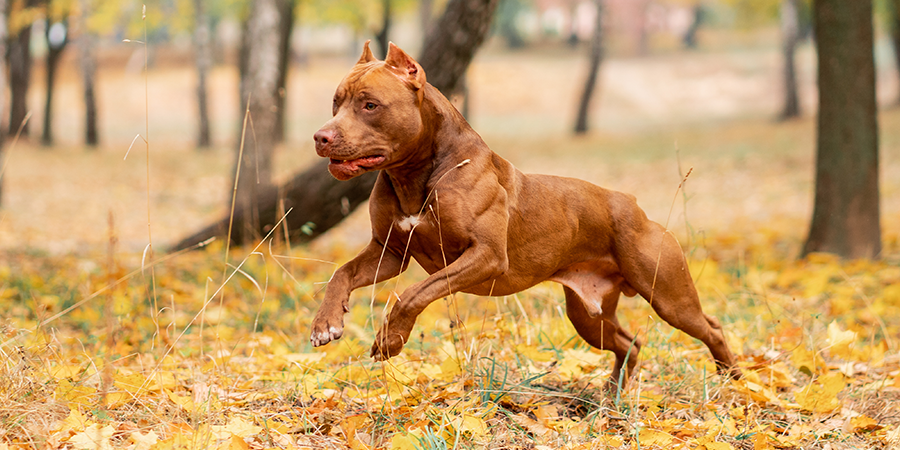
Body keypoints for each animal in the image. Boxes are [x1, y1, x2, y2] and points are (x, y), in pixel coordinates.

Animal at [312, 40, 740, 388]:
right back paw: (611, 396)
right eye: (335, 102)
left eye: (370, 105)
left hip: (669, 296)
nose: (321, 136)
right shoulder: (389, 252)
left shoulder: (485, 256)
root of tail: (632, 203)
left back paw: (733, 380)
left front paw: (390, 339)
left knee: (711, 328)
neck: (415, 174)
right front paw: (326, 323)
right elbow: (341, 274)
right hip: (588, 316)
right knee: (630, 344)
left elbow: (414, 293)